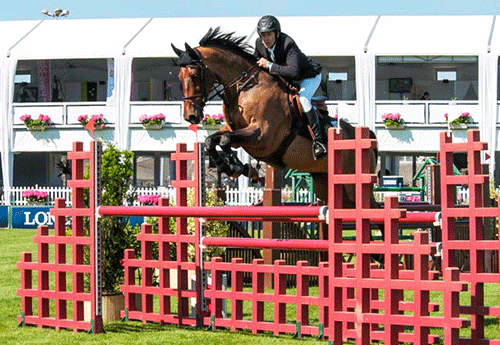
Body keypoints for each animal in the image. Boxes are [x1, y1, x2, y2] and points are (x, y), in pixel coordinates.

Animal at [172, 27, 378, 207]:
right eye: (179, 78)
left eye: (194, 75)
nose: (191, 116)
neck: (245, 87)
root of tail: (368, 138)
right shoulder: (234, 131)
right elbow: (212, 141)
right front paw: (235, 167)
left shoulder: (263, 136)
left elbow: (224, 140)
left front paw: (237, 167)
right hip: (326, 183)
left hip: (352, 185)